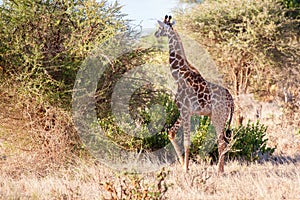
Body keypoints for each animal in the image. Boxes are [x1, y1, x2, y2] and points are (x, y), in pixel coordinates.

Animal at [155, 15, 234, 173]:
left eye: (160, 27)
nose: (155, 34)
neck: (179, 76)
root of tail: (232, 100)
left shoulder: (186, 110)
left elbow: (187, 142)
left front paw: (186, 169)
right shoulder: (184, 110)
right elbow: (171, 132)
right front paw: (181, 164)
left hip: (218, 117)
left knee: (221, 142)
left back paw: (219, 171)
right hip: (220, 118)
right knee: (223, 142)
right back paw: (221, 169)